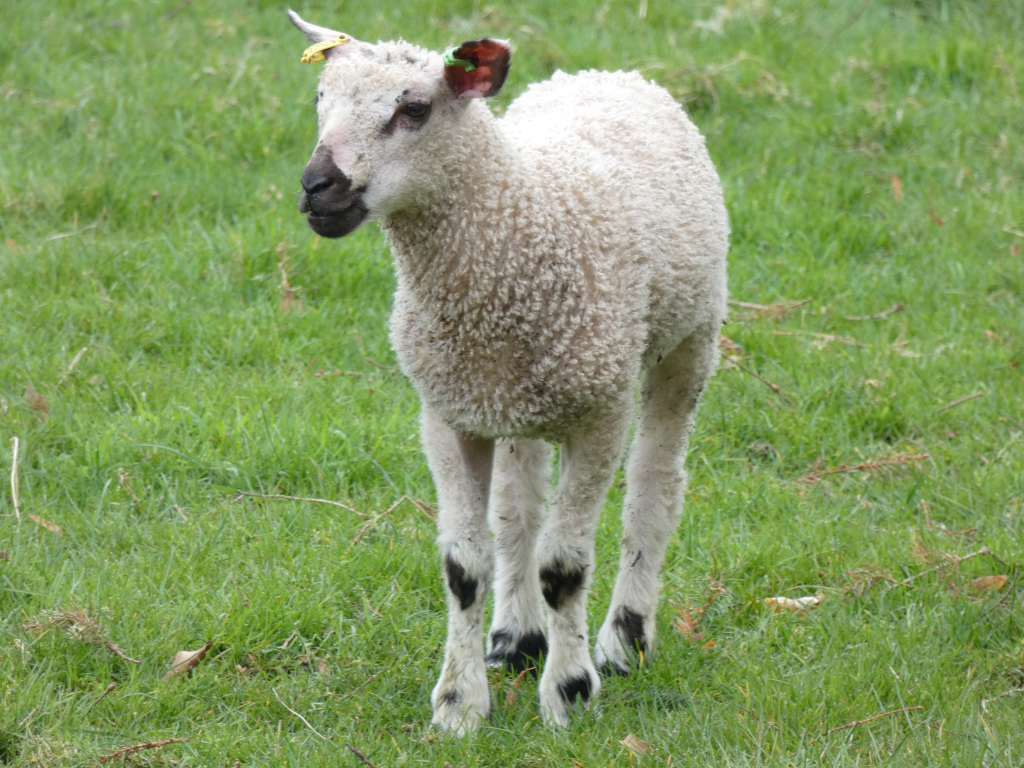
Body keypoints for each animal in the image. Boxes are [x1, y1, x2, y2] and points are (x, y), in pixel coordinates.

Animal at [287, 11, 729, 736]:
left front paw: (570, 693)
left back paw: (624, 639)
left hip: (691, 337)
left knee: (654, 489)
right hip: (514, 402)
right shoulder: (445, 413)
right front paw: (458, 704)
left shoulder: (601, 413)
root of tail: (606, 72)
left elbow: (565, 566)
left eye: (414, 108)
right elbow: (464, 564)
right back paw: (515, 639)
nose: (317, 187)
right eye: (320, 99)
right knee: (517, 510)